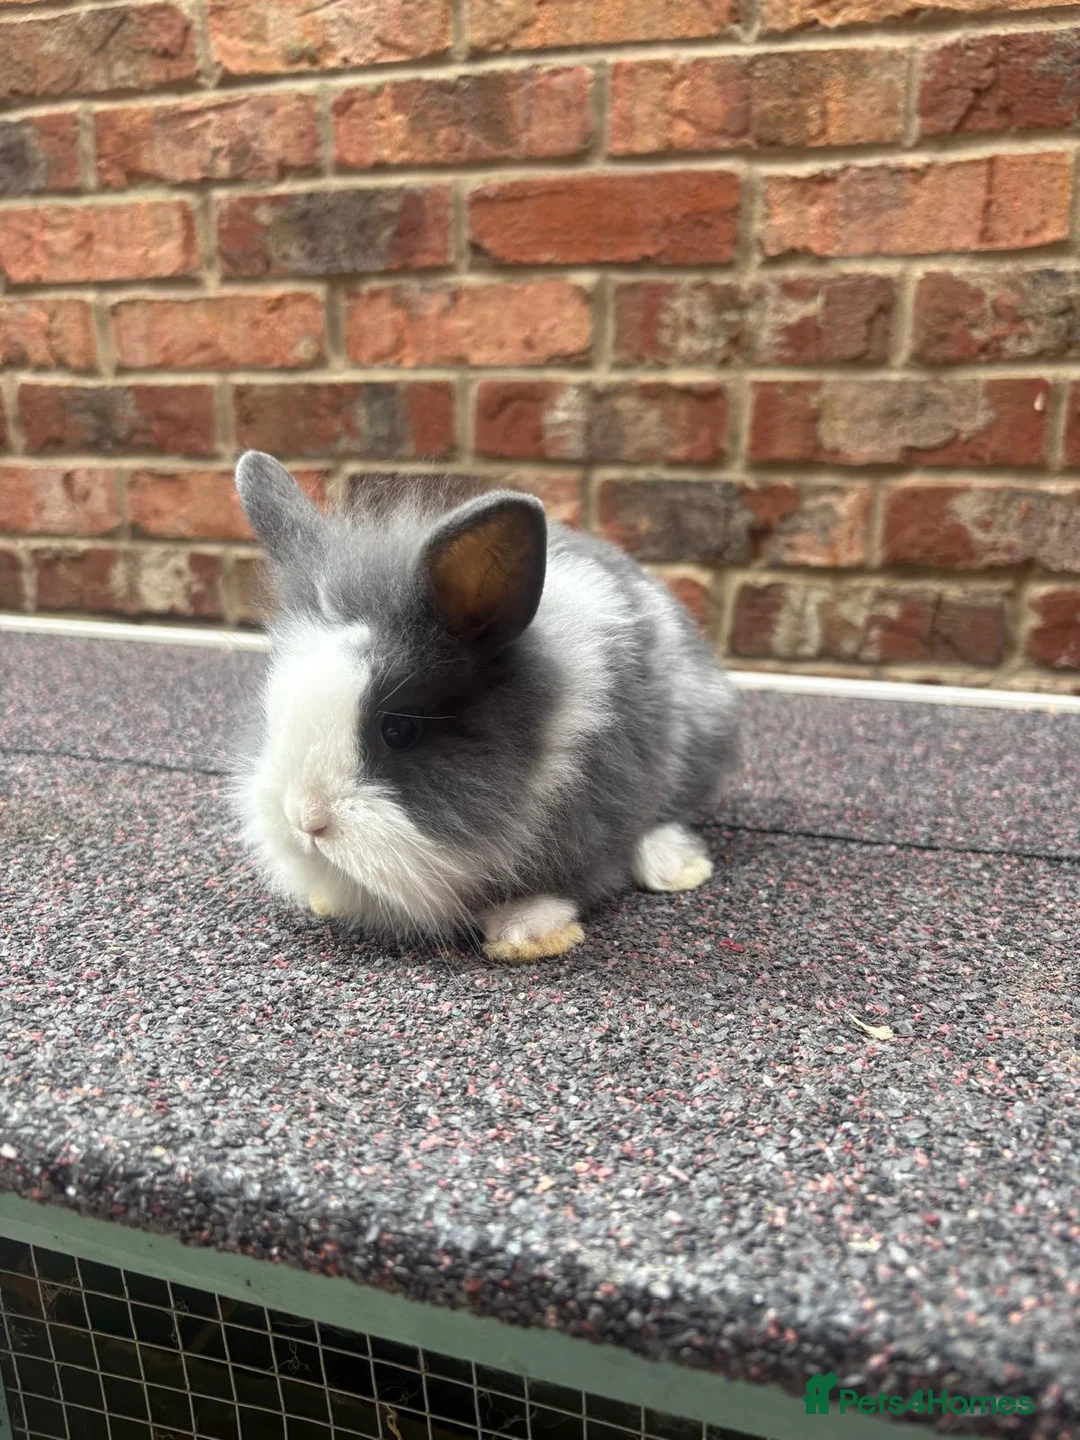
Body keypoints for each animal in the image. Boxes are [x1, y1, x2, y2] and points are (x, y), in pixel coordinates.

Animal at [232, 450, 738, 963]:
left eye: (399, 729)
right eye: (273, 710)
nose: (305, 821)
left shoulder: (597, 807)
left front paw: (528, 935)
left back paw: (675, 867)